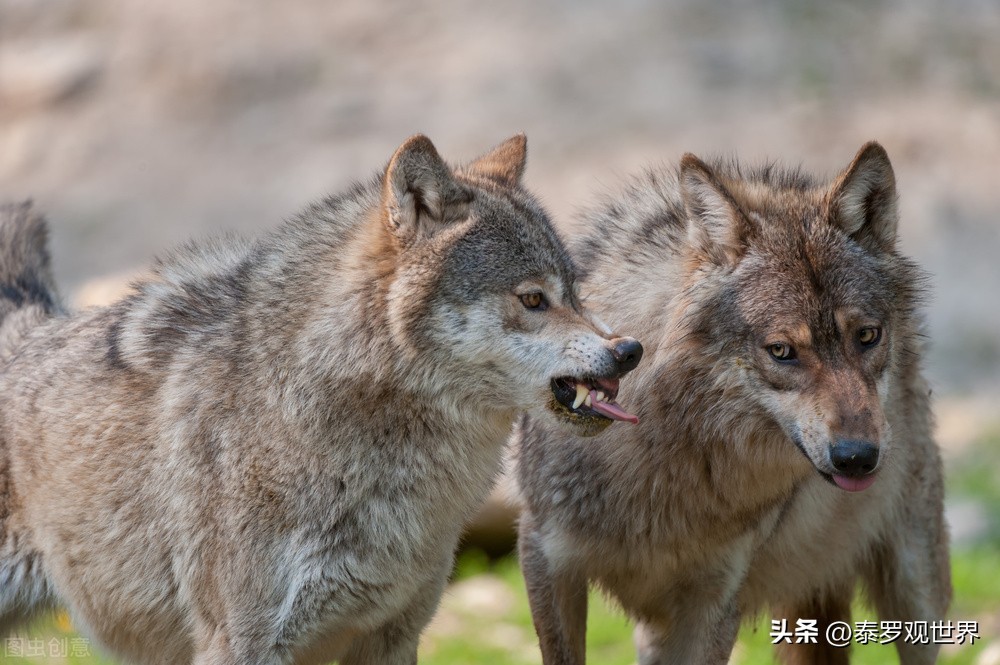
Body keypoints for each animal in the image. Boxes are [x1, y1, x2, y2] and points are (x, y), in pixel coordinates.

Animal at [516, 141, 952, 664]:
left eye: (867, 336)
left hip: (914, 596)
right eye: (781, 351)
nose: (859, 458)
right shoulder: (545, 560)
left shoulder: (718, 601)